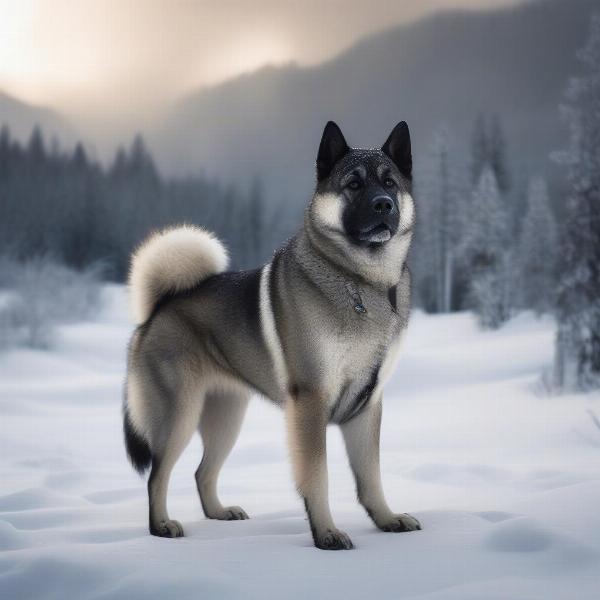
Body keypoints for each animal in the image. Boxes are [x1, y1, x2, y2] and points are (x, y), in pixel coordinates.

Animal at [123, 120, 420, 548]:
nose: (383, 205)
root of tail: (161, 305)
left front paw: (387, 519)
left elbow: (371, 477)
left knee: (202, 472)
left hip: (226, 416)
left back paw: (220, 513)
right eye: (353, 184)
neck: (362, 282)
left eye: (390, 183)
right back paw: (162, 526)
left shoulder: (367, 403)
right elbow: (317, 476)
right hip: (179, 414)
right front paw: (326, 533)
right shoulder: (310, 400)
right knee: (157, 476)